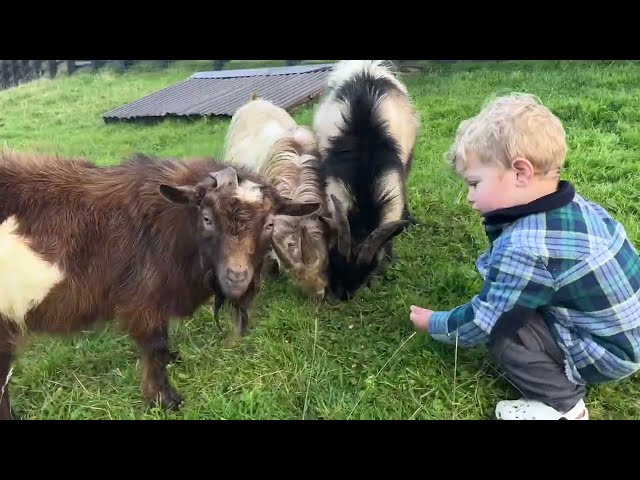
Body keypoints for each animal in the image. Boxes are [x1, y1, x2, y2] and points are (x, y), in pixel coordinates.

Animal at [0, 150, 320, 420]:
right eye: (207, 218)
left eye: (269, 224)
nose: (236, 276)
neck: (163, 225)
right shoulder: (143, 299)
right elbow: (155, 346)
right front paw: (165, 400)